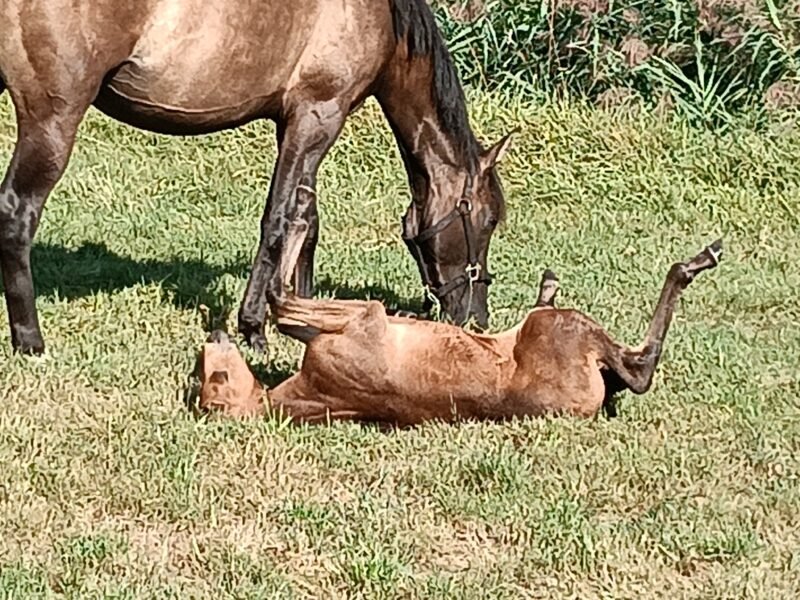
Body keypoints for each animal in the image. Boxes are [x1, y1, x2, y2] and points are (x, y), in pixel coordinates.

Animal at [0, 0, 512, 355]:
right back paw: (31, 341)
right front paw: (254, 329)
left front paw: (306, 314)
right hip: (53, 119)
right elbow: (279, 222)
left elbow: (306, 220)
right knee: (17, 212)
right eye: (488, 220)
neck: (379, 17)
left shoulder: (298, 123)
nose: (476, 318)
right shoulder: (317, 116)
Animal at [196, 236, 723, 425]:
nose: (212, 339)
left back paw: (547, 284)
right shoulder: (362, 321)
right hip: (566, 329)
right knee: (640, 366)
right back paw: (696, 261)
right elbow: (282, 300)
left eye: (203, 371)